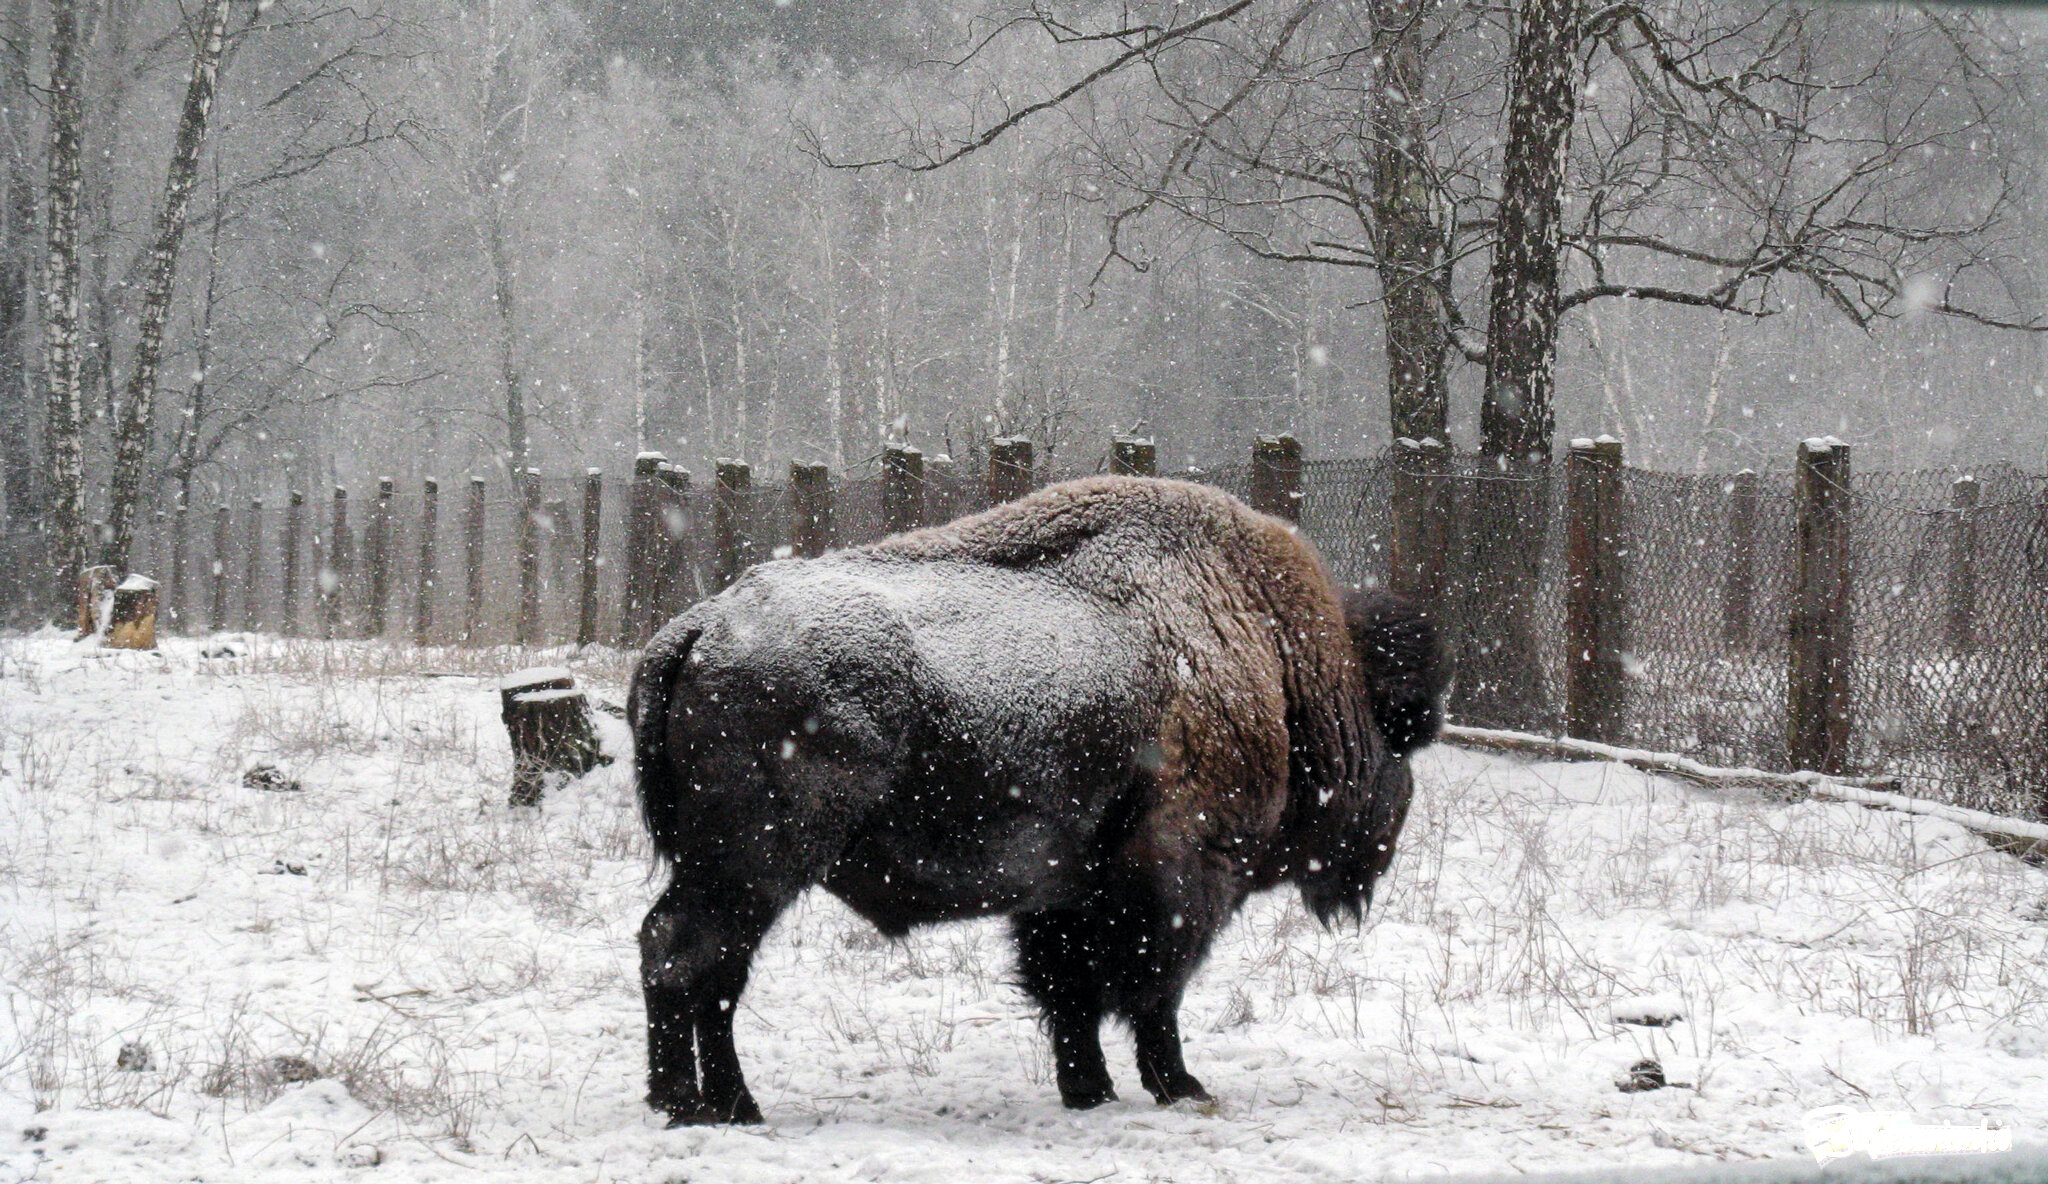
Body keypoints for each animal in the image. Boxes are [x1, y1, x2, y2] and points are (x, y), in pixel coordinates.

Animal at [622, 475, 1441, 1122]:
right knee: (691, 956)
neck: (1273, 656)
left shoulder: (1065, 893)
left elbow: (1067, 991)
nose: (1378, 856)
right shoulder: (1179, 874)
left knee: (698, 962)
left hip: (728, 867)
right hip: (758, 863)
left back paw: (700, 1101)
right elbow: (1152, 990)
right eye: (1404, 740)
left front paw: (1091, 1092)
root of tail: (697, 628)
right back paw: (711, 1105)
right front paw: (1182, 1087)